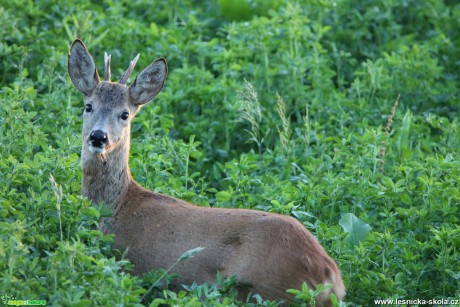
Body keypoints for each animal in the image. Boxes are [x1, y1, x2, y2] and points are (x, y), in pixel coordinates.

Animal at [66, 38, 344, 306]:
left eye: (124, 114)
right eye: (88, 106)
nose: (98, 136)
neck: (117, 207)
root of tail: (330, 276)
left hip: (265, 287)